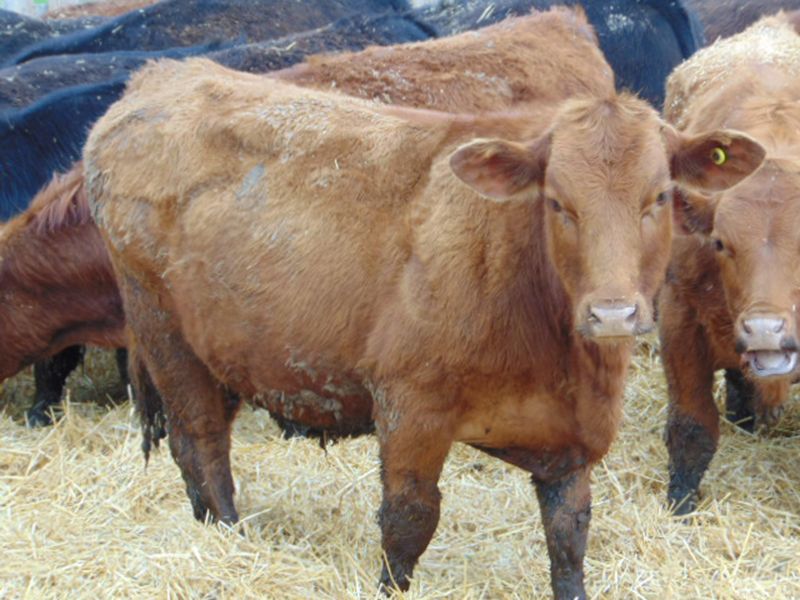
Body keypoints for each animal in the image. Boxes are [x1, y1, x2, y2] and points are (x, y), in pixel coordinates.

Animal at [85, 55, 762, 599]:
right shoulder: (410, 407)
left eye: (659, 197)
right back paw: (227, 537)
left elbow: (569, 539)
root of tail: (162, 75)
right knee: (198, 442)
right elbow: (408, 522)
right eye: (557, 202)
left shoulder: (571, 441)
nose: (613, 312)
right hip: (165, 335)